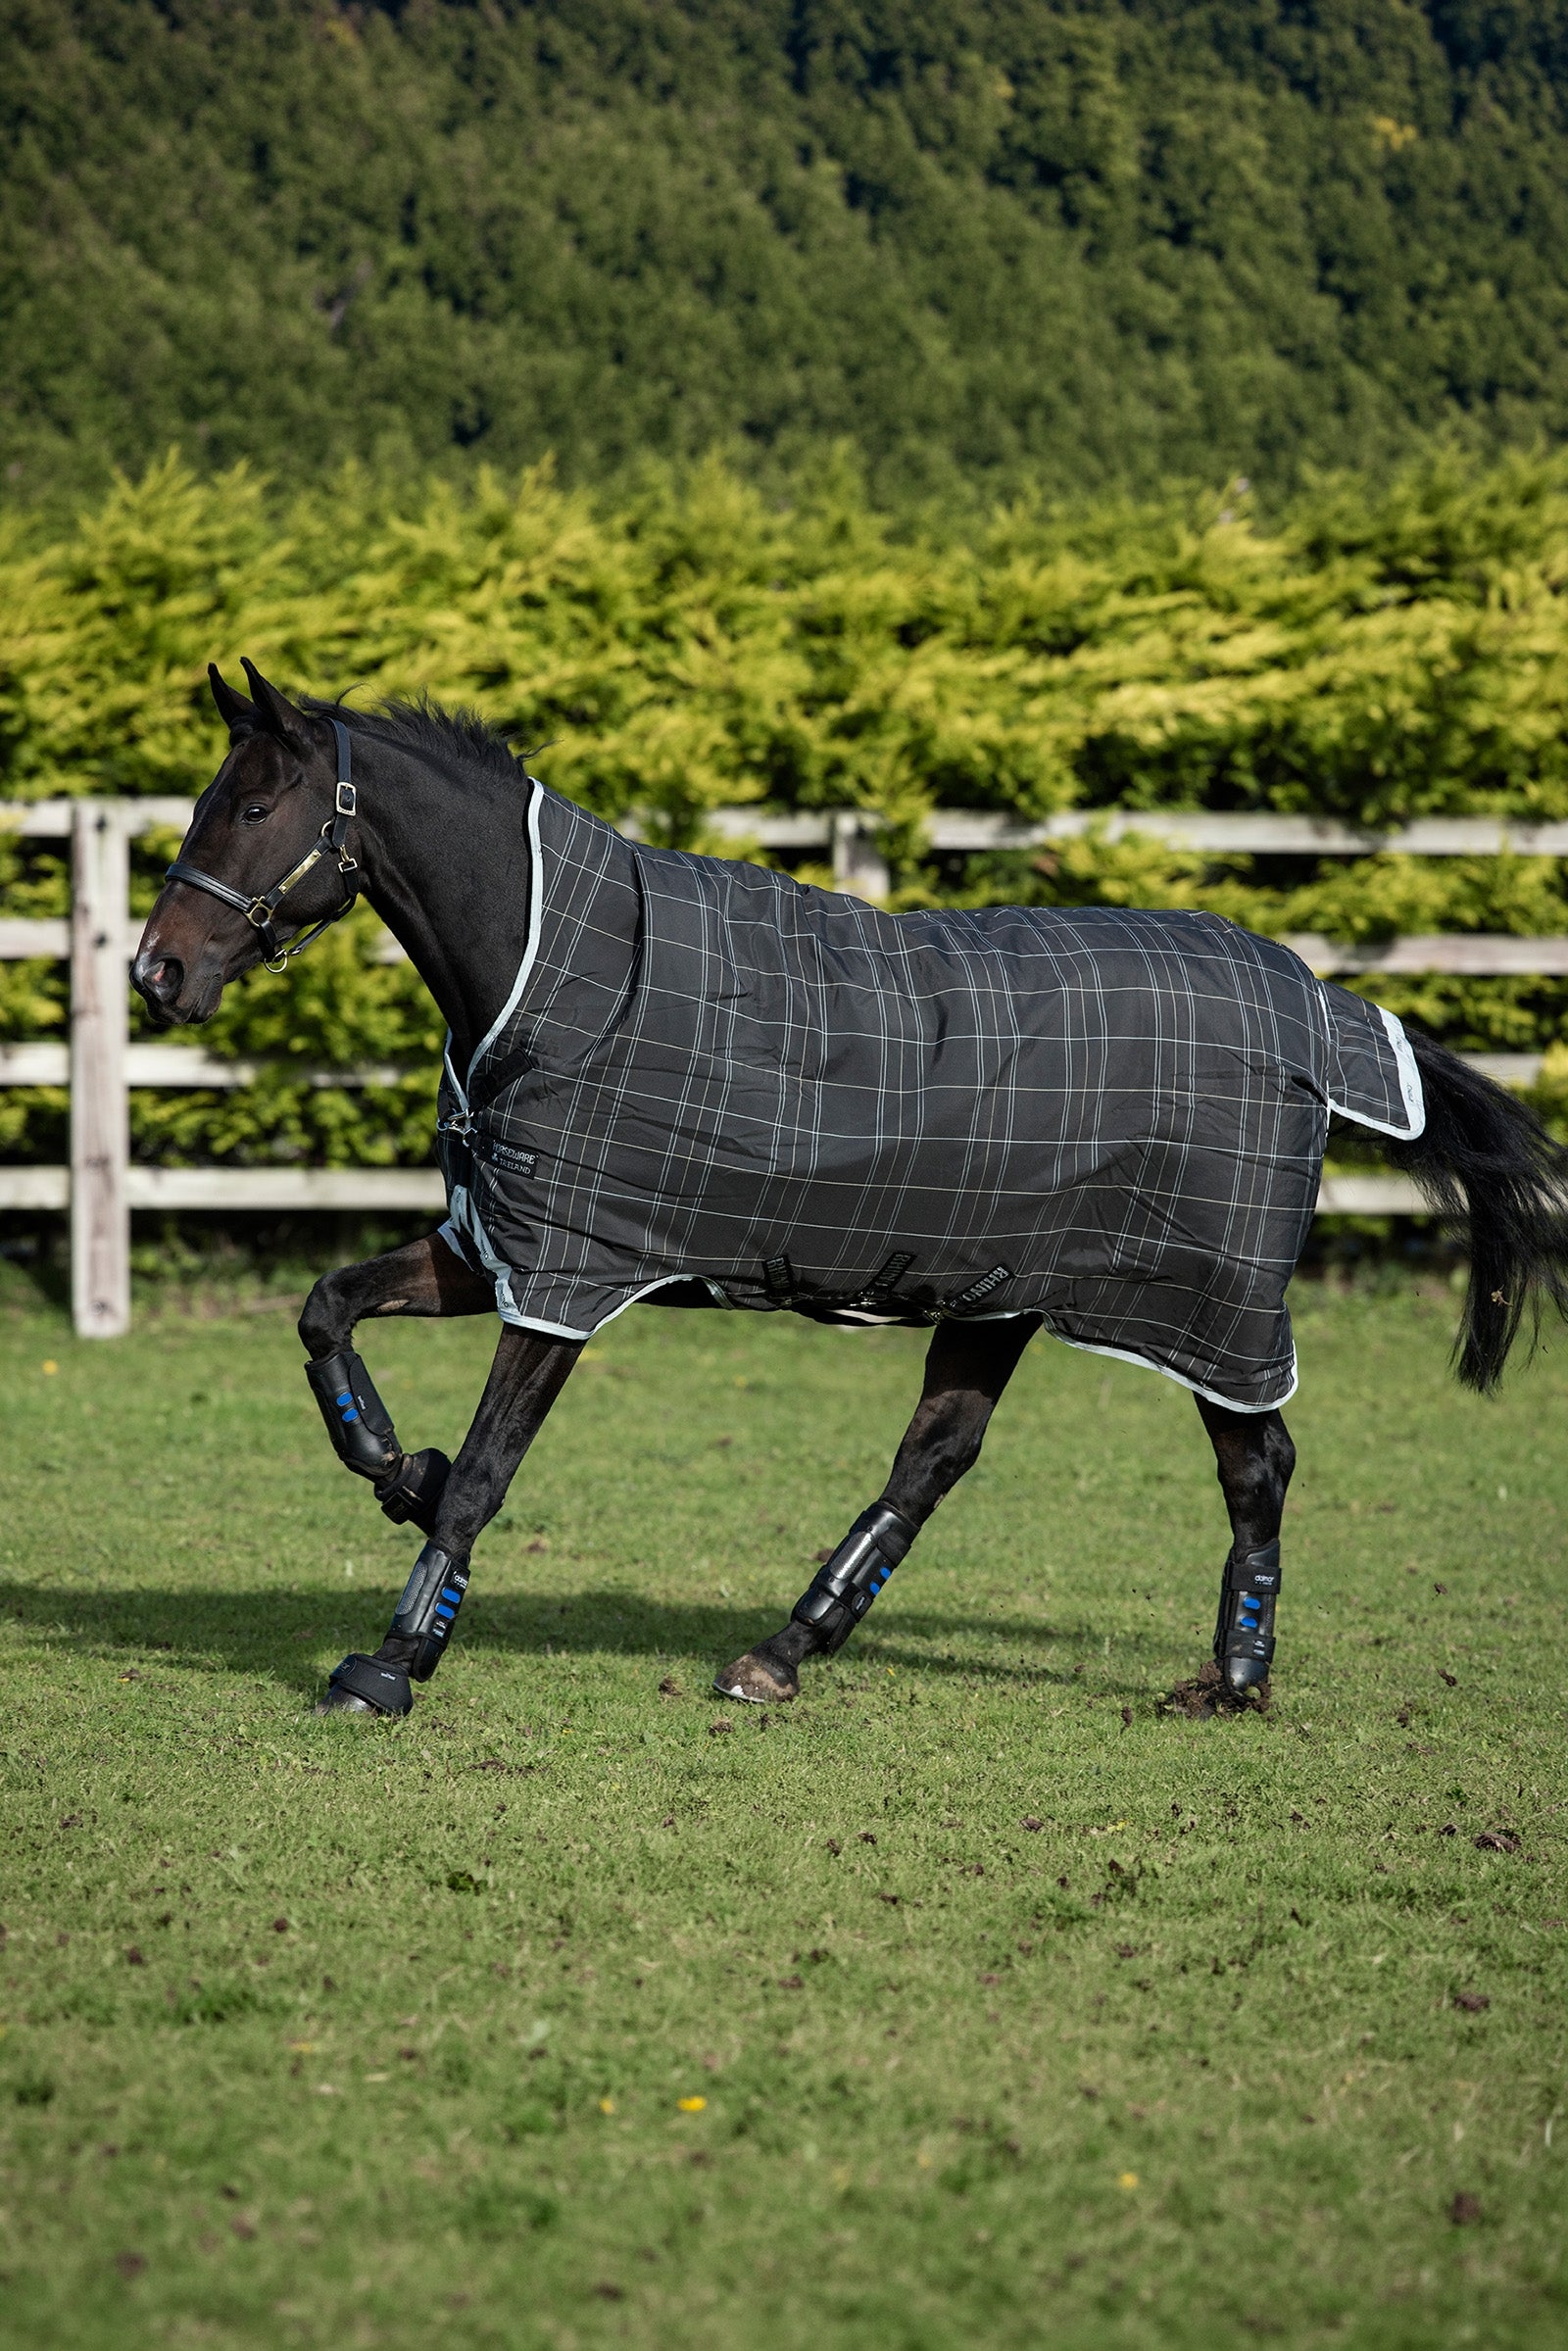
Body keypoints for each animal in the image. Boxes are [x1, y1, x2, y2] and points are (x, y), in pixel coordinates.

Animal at [130, 660, 1568, 1721]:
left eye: (252, 809)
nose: (158, 974)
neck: (553, 964)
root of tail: (1316, 1005)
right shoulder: (505, 1242)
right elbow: (327, 1308)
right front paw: (397, 1468)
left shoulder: (570, 1272)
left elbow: (491, 1467)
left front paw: (392, 1658)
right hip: (1003, 1288)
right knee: (937, 1452)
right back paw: (781, 1649)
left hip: (1203, 1301)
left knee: (1257, 1459)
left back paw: (1234, 1677)